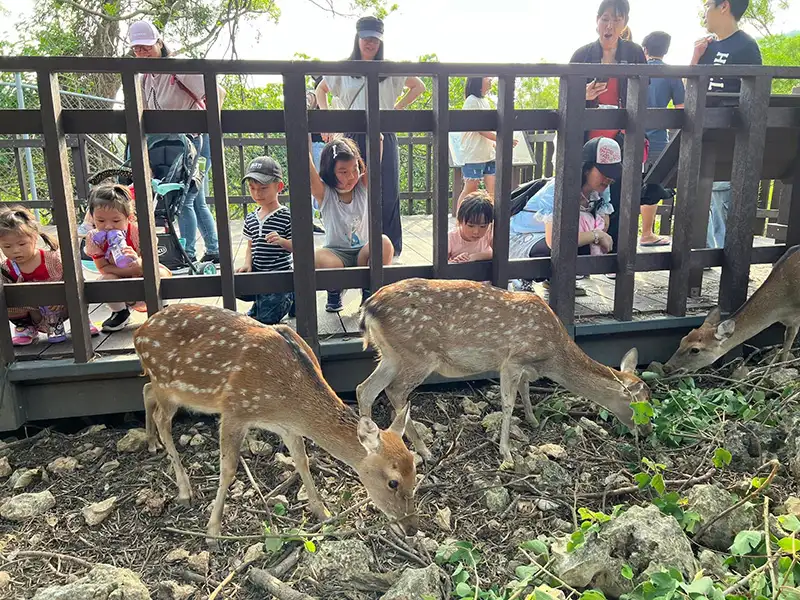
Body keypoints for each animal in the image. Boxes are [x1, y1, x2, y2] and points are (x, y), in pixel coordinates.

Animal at [133, 302, 418, 540]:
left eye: (415, 471)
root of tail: (138, 334)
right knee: (161, 418)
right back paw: (184, 490)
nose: (411, 527)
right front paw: (213, 531)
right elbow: (228, 469)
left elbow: (302, 461)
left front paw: (323, 513)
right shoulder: (235, 410)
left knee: (146, 390)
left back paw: (151, 443)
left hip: (167, 387)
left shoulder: (287, 427)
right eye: (393, 482)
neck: (287, 400)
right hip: (166, 383)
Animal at [356, 278, 648, 464]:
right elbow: (508, 403)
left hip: (391, 354)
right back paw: (424, 452)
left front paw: (532, 420)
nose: (644, 433)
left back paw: (368, 444)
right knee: (394, 391)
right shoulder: (512, 360)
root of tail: (368, 309)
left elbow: (525, 390)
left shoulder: (523, 365)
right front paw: (506, 452)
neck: (552, 354)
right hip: (418, 354)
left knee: (365, 389)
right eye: (638, 405)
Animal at [664, 243, 800, 372]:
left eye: (695, 349)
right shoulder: (791, 322)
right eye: (683, 339)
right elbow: (787, 343)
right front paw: (778, 369)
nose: (667, 367)